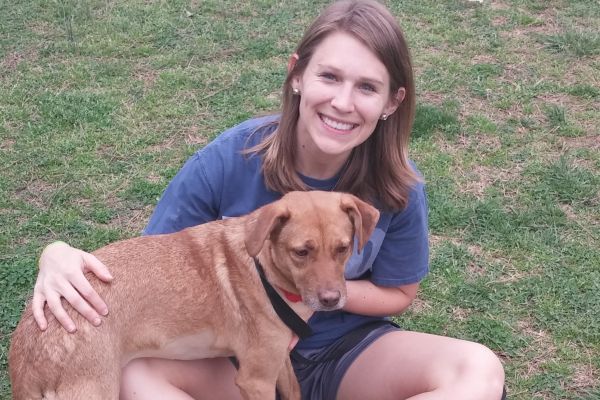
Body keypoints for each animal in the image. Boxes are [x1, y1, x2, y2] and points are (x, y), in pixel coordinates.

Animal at [8, 191, 380, 400]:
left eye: (343, 248)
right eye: (301, 252)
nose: (331, 299)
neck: (265, 271)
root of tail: (28, 351)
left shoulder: (278, 361)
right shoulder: (255, 380)